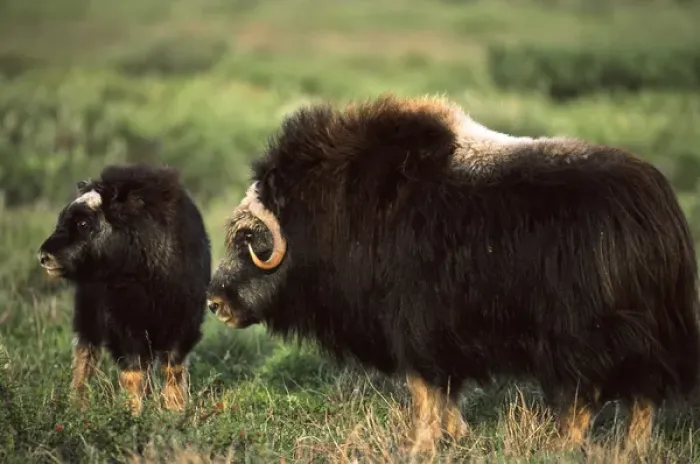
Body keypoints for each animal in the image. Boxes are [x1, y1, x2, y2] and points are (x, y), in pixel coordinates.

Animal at [37, 163, 211, 413]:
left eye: (83, 223)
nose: (44, 256)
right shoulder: (123, 323)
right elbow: (133, 369)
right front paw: (132, 411)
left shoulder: (184, 321)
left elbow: (173, 367)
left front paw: (175, 409)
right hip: (87, 314)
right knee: (85, 353)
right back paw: (77, 403)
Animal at [205, 94, 700, 451]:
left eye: (250, 239)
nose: (214, 301)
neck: (334, 212)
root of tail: (656, 212)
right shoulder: (440, 337)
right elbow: (445, 392)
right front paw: (456, 435)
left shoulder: (415, 327)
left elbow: (424, 390)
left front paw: (420, 445)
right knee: (642, 394)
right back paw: (630, 448)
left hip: (585, 336)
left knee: (590, 394)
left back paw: (564, 446)